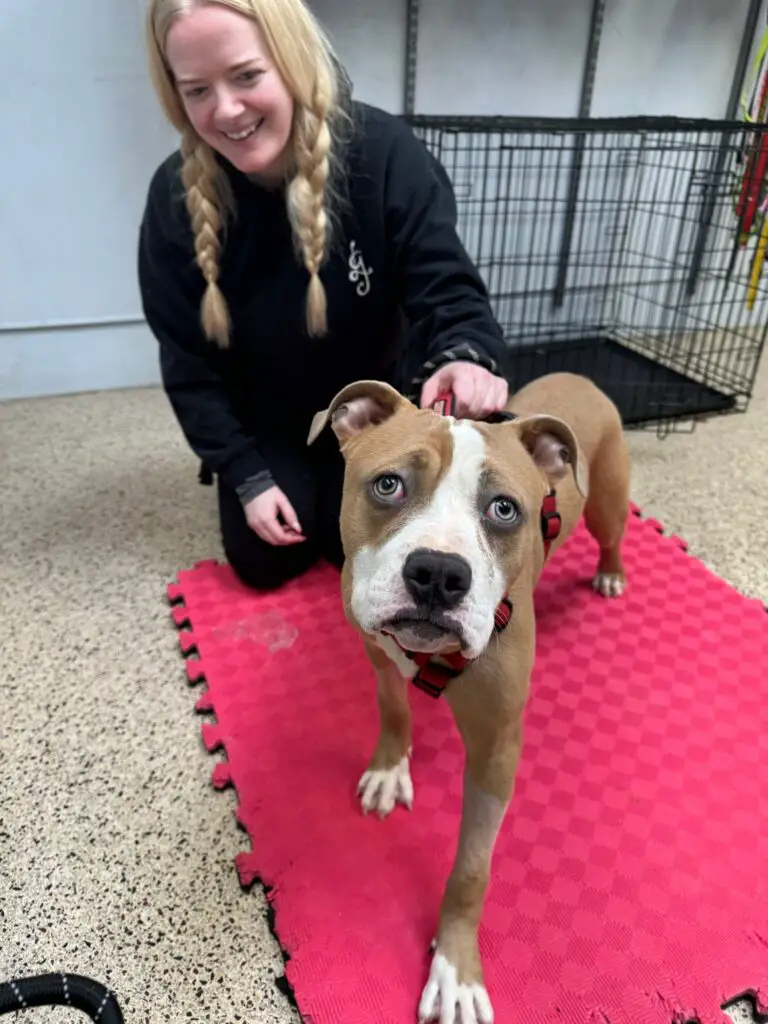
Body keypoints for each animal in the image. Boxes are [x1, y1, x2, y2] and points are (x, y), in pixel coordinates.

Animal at [307, 372, 630, 1019]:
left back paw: (609, 572)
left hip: (608, 499)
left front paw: (455, 967)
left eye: (504, 509)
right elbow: (392, 709)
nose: (437, 573)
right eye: (388, 484)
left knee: (611, 533)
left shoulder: (496, 750)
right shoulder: (377, 651)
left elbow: (472, 871)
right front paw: (390, 769)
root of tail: (580, 376)